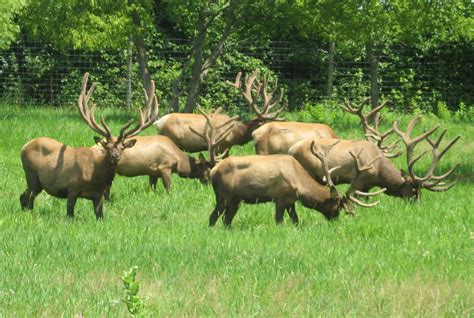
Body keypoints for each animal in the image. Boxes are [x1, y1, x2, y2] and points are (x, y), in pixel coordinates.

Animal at [19, 73, 159, 220]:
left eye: (122, 147)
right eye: (107, 146)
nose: (115, 156)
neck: (95, 176)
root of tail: (24, 146)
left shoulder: (98, 196)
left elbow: (100, 216)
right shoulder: (72, 187)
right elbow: (70, 213)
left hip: (37, 182)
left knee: (23, 197)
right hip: (31, 175)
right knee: (29, 199)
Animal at [104, 105, 236, 198]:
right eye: (208, 171)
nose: (210, 187)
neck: (178, 160)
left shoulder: (152, 172)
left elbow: (152, 188)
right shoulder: (164, 167)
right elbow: (169, 189)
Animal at [207, 140, 386, 227]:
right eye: (337, 207)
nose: (335, 221)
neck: (300, 183)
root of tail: (212, 172)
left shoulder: (291, 201)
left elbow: (295, 220)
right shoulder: (280, 198)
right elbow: (279, 221)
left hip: (235, 200)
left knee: (226, 220)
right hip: (223, 196)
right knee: (213, 217)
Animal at [288, 115, 460, 200]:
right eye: (413, 190)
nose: (416, 203)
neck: (379, 173)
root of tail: (291, 150)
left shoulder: (367, 187)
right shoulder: (359, 181)